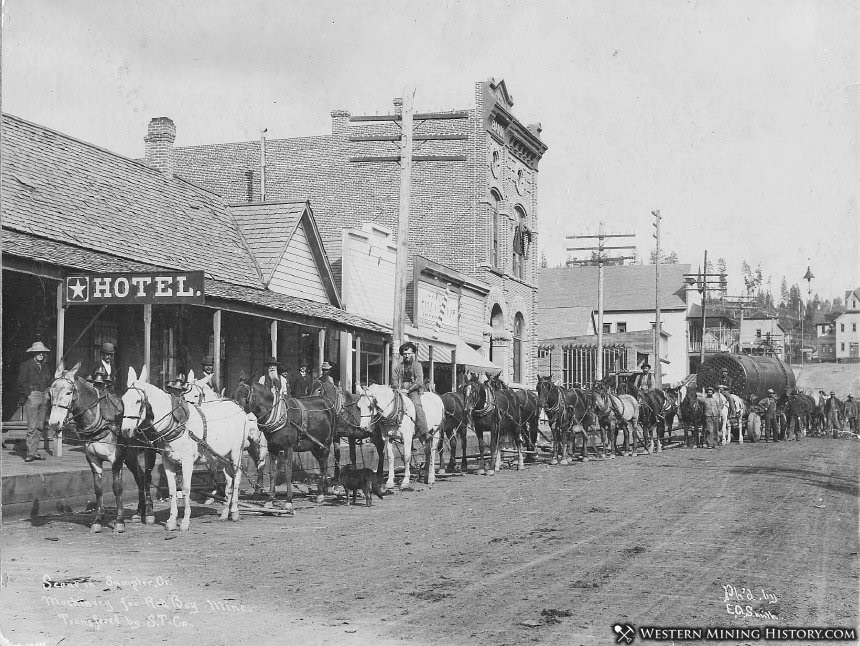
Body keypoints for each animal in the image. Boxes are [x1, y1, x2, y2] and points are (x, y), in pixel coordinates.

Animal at [47, 364, 155, 536]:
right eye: (50, 393)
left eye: (69, 392)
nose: (54, 422)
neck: (102, 420)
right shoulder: (93, 459)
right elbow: (98, 489)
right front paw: (97, 520)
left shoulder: (116, 459)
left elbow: (117, 488)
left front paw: (119, 522)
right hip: (130, 455)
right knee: (140, 476)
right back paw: (139, 512)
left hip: (149, 449)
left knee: (147, 477)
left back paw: (149, 512)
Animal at [120, 368, 252, 536]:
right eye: (123, 400)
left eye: (138, 401)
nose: (125, 430)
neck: (176, 423)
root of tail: (239, 409)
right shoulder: (168, 462)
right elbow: (172, 491)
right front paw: (171, 522)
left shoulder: (188, 462)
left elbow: (186, 490)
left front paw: (184, 522)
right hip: (221, 455)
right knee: (229, 479)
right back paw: (224, 513)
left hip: (236, 452)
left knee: (237, 477)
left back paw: (234, 511)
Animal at [237, 380, 340, 512]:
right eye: (235, 394)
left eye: (245, 395)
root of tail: (328, 403)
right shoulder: (272, 448)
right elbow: (273, 473)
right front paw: (270, 500)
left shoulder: (288, 448)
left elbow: (288, 473)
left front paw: (288, 502)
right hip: (315, 446)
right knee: (323, 464)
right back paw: (322, 492)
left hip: (325, 444)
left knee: (324, 465)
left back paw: (322, 493)